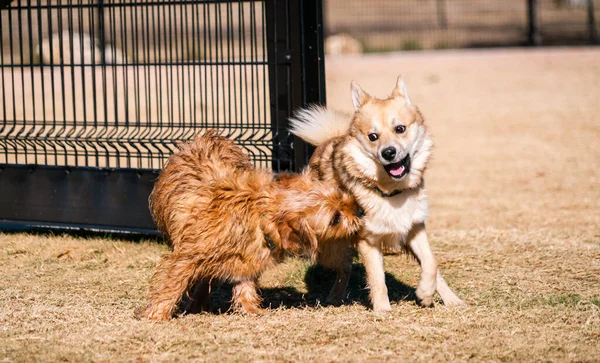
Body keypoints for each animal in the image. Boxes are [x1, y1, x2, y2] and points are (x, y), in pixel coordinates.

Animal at [138, 132, 364, 322]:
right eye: (335, 218)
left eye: (342, 196)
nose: (360, 211)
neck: (259, 215)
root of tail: (206, 135)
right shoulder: (188, 256)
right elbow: (172, 283)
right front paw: (157, 314)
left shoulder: (247, 259)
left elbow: (245, 286)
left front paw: (251, 309)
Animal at [288, 76, 466, 312]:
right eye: (373, 136)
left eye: (400, 128)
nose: (388, 152)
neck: (391, 192)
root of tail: (330, 140)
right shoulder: (368, 240)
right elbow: (377, 278)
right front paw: (383, 310)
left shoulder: (415, 227)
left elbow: (431, 263)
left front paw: (425, 294)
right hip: (335, 243)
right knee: (344, 268)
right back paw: (335, 296)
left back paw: (453, 300)